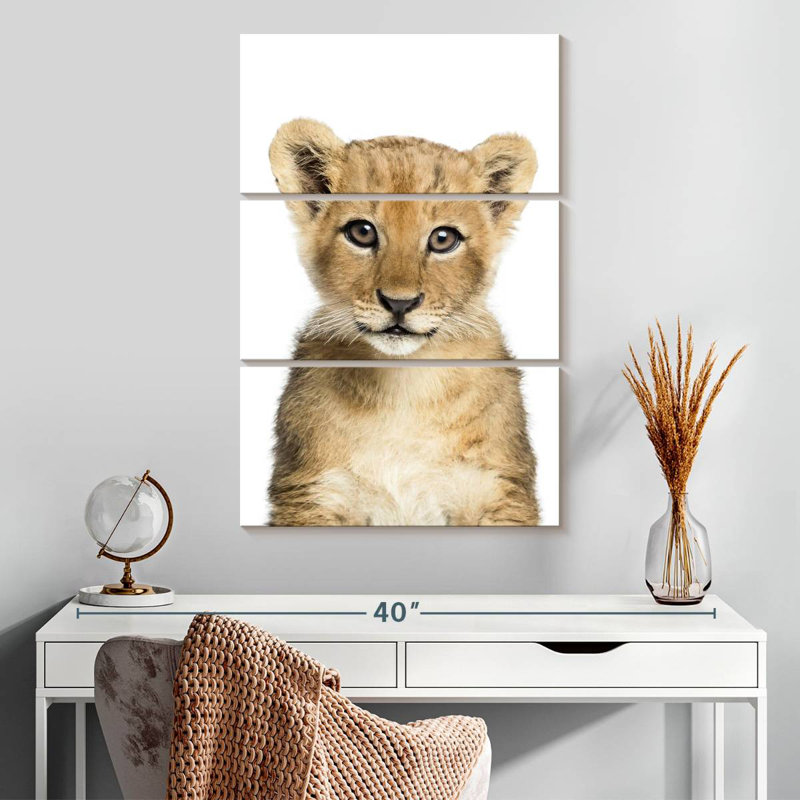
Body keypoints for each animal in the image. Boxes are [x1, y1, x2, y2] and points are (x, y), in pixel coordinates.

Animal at [266, 120, 540, 526]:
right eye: (362, 232)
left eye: (443, 238)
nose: (399, 303)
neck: (404, 387)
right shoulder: (312, 494)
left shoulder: (497, 491)